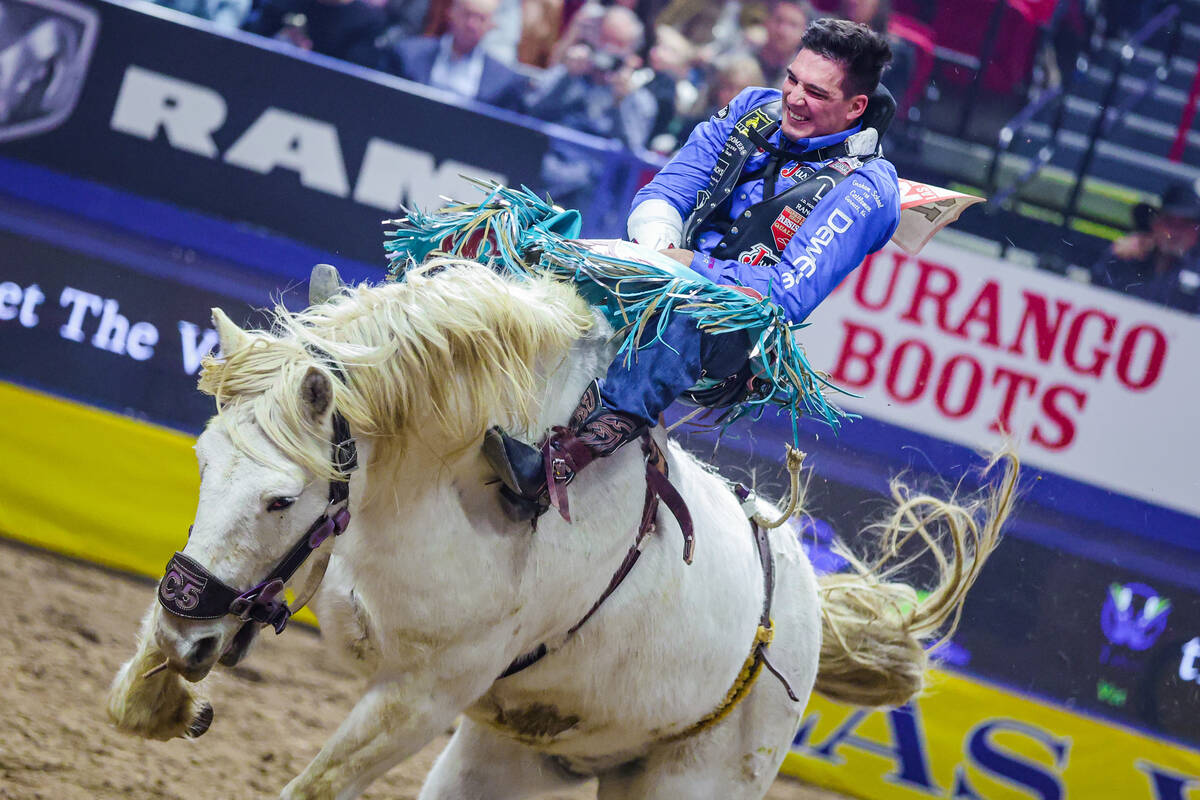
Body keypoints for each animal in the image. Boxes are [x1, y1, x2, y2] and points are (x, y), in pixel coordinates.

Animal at [108, 260, 1017, 796]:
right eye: (203, 463)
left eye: (280, 499)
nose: (191, 623)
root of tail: (798, 602)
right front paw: (162, 696)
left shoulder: (423, 696)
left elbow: (315, 786)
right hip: (510, 757)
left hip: (693, 781)